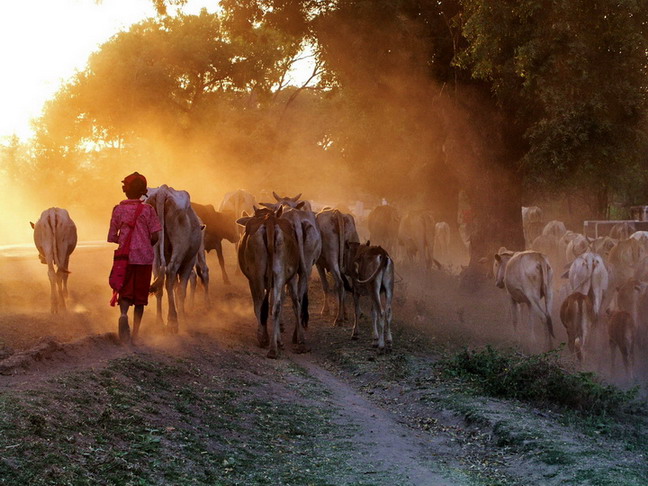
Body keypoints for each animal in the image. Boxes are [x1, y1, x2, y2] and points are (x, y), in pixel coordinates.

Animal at [147, 184, 202, 332]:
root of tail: (162, 191)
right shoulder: (189, 261)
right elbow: (181, 290)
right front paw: (182, 319)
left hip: (154, 251)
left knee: (158, 279)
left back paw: (159, 321)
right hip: (179, 247)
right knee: (170, 273)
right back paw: (173, 321)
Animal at [238, 205, 306, 356]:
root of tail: (269, 220)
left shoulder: (252, 280)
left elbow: (258, 306)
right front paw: (280, 340)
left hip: (257, 275)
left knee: (260, 303)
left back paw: (263, 338)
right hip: (279, 273)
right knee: (277, 306)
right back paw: (275, 348)